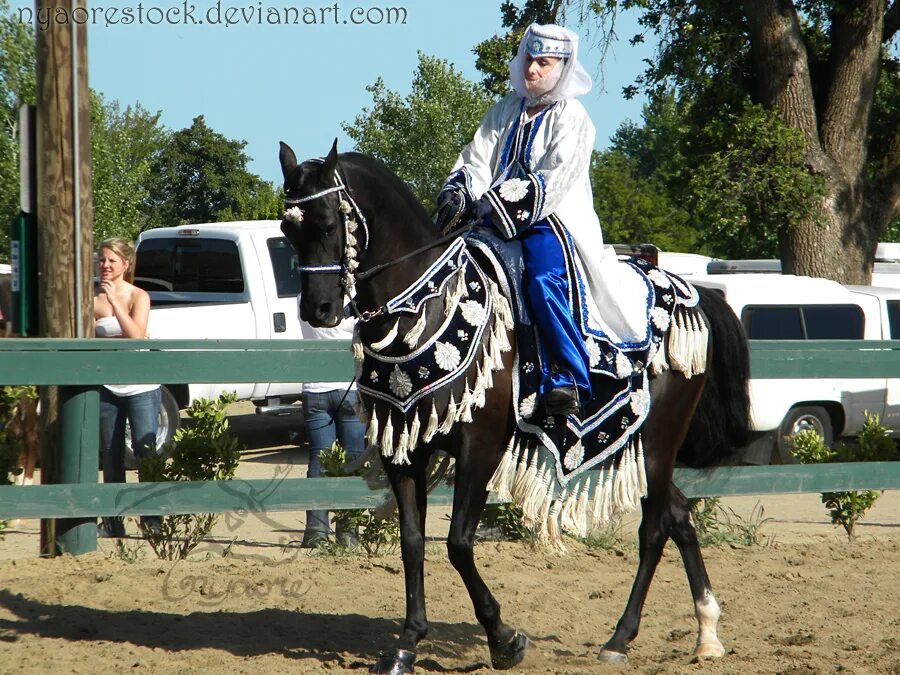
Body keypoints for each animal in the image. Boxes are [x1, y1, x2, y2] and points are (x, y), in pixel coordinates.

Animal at [278, 140, 748, 672]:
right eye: (287, 230)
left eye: (327, 224)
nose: (316, 310)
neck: (426, 308)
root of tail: (693, 294)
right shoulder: (406, 450)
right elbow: (413, 543)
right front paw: (406, 643)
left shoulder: (480, 447)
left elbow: (459, 545)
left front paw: (503, 638)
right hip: (647, 449)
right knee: (679, 514)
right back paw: (706, 631)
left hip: (659, 443)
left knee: (654, 528)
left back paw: (620, 638)